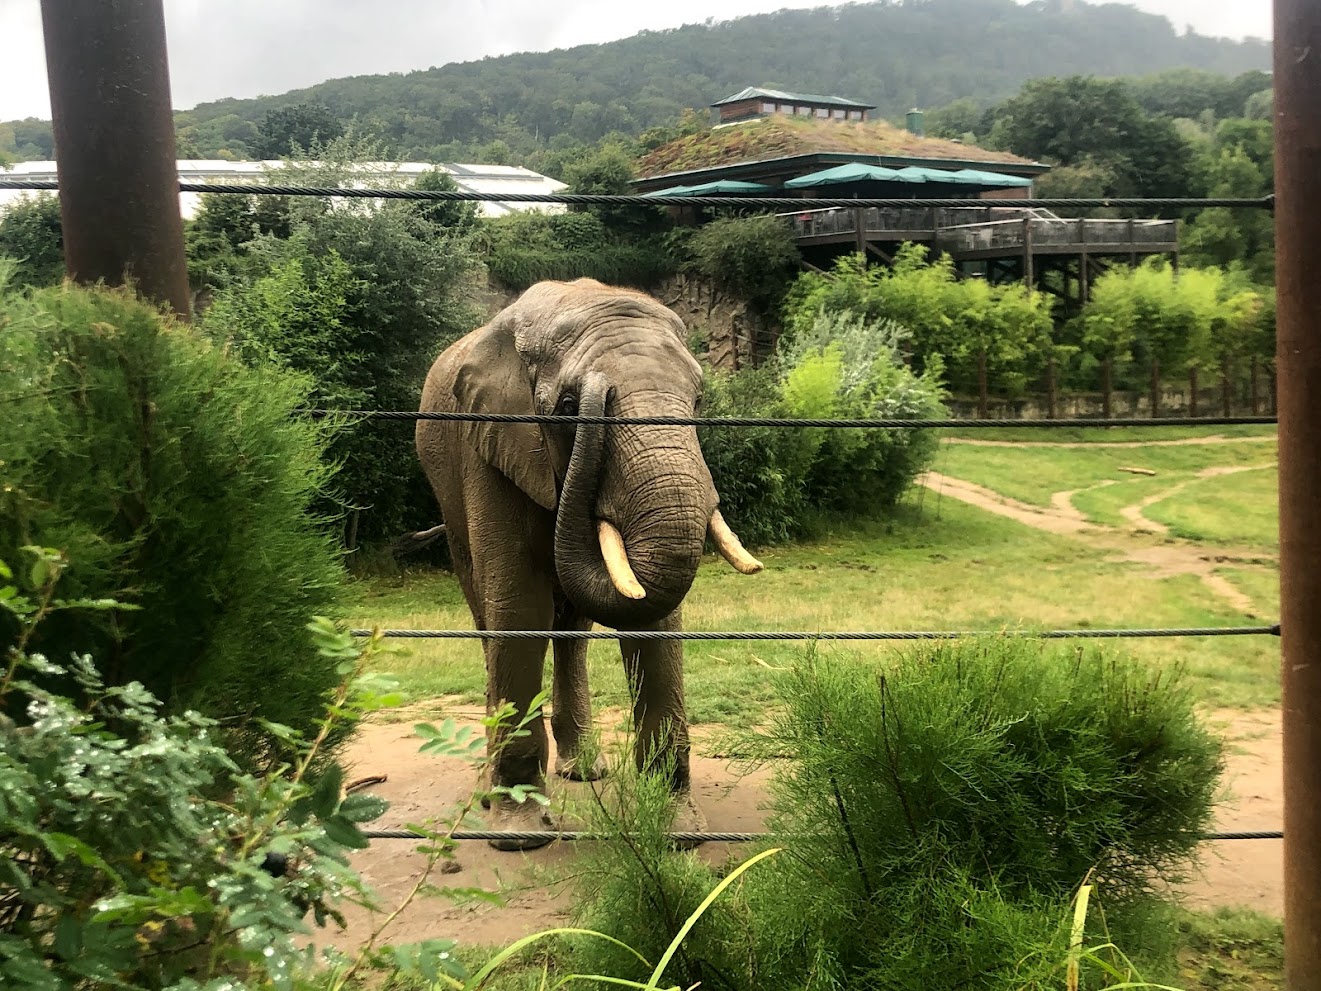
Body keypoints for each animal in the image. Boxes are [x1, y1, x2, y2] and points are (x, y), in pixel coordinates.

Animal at [415, 278, 764, 851]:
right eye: (567, 405)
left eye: (697, 400)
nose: (598, 396)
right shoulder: (492, 443)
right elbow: (519, 607)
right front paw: (519, 835)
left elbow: (651, 618)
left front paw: (678, 833)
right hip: (446, 487)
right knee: (488, 613)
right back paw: (490, 788)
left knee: (572, 628)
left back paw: (584, 772)